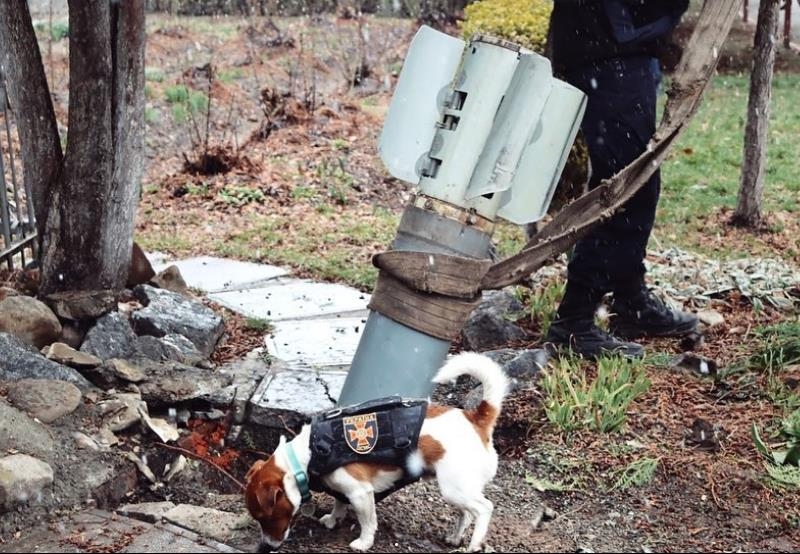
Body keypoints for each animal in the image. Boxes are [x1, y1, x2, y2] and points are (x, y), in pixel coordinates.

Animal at [244, 352, 510, 548]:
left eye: (265, 517)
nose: (267, 545)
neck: (307, 457)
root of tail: (477, 417)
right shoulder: (343, 490)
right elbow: (338, 504)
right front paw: (332, 519)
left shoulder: (360, 493)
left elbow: (368, 523)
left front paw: (363, 542)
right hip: (458, 489)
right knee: (467, 513)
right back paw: (455, 538)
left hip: (454, 488)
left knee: (484, 509)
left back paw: (473, 544)